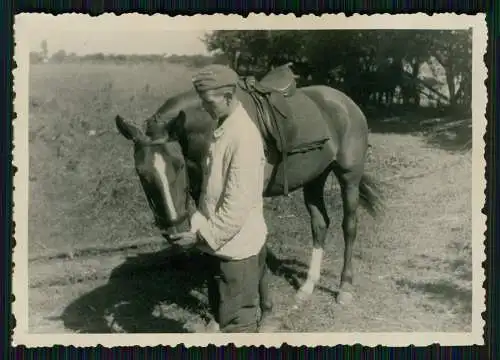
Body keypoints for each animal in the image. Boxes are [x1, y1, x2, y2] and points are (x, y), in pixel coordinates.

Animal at [115, 81, 384, 312]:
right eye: (141, 173)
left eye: (179, 165)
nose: (175, 232)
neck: (214, 128)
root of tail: (345, 102)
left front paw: (263, 310)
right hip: (315, 178)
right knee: (320, 225)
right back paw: (308, 286)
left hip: (349, 177)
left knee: (349, 226)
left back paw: (345, 287)